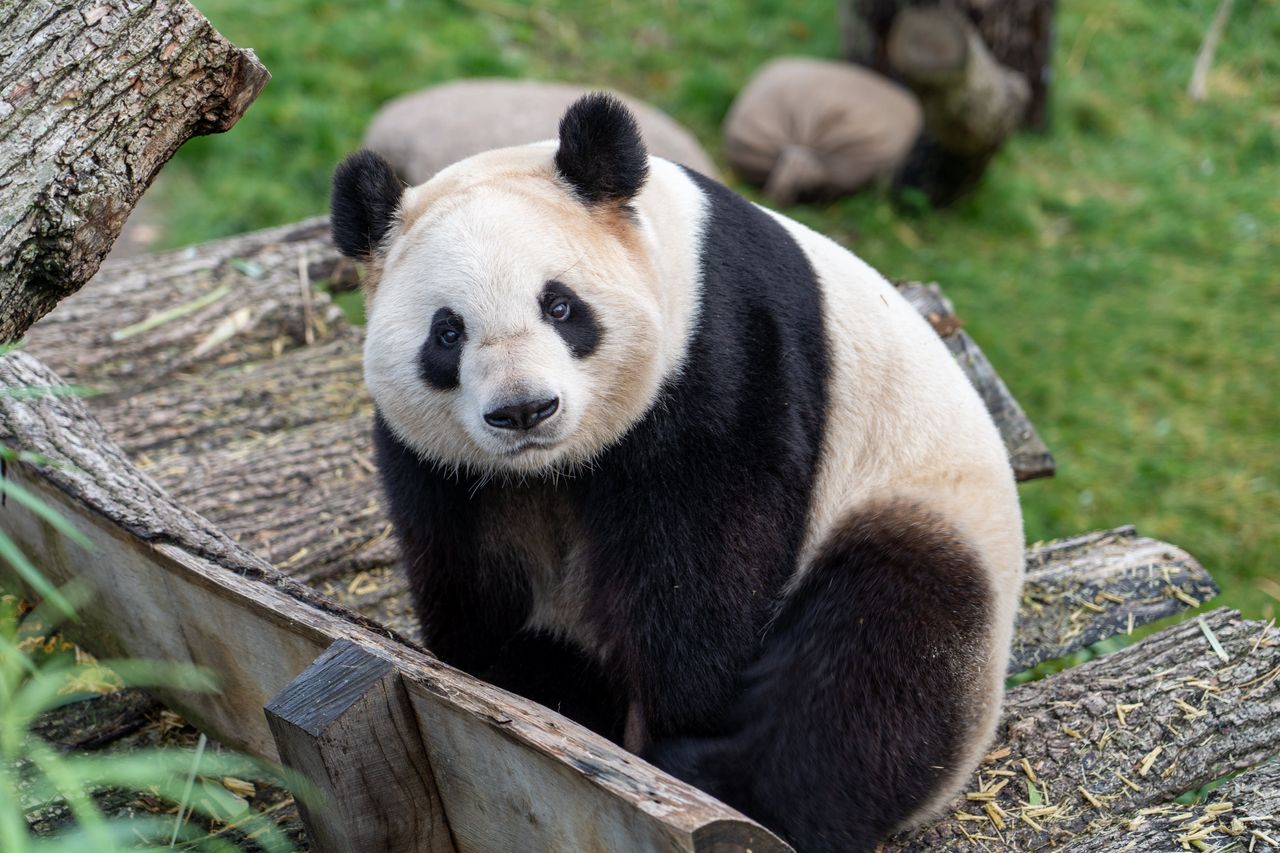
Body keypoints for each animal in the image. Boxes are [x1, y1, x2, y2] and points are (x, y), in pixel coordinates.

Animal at [335, 92, 1024, 850]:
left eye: (560, 305)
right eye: (447, 331)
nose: (524, 410)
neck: (555, 465)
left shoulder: (723, 351)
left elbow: (706, 558)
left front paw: (670, 721)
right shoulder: (441, 463)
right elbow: (467, 563)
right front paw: (491, 676)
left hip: (922, 510)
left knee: (879, 656)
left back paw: (723, 779)